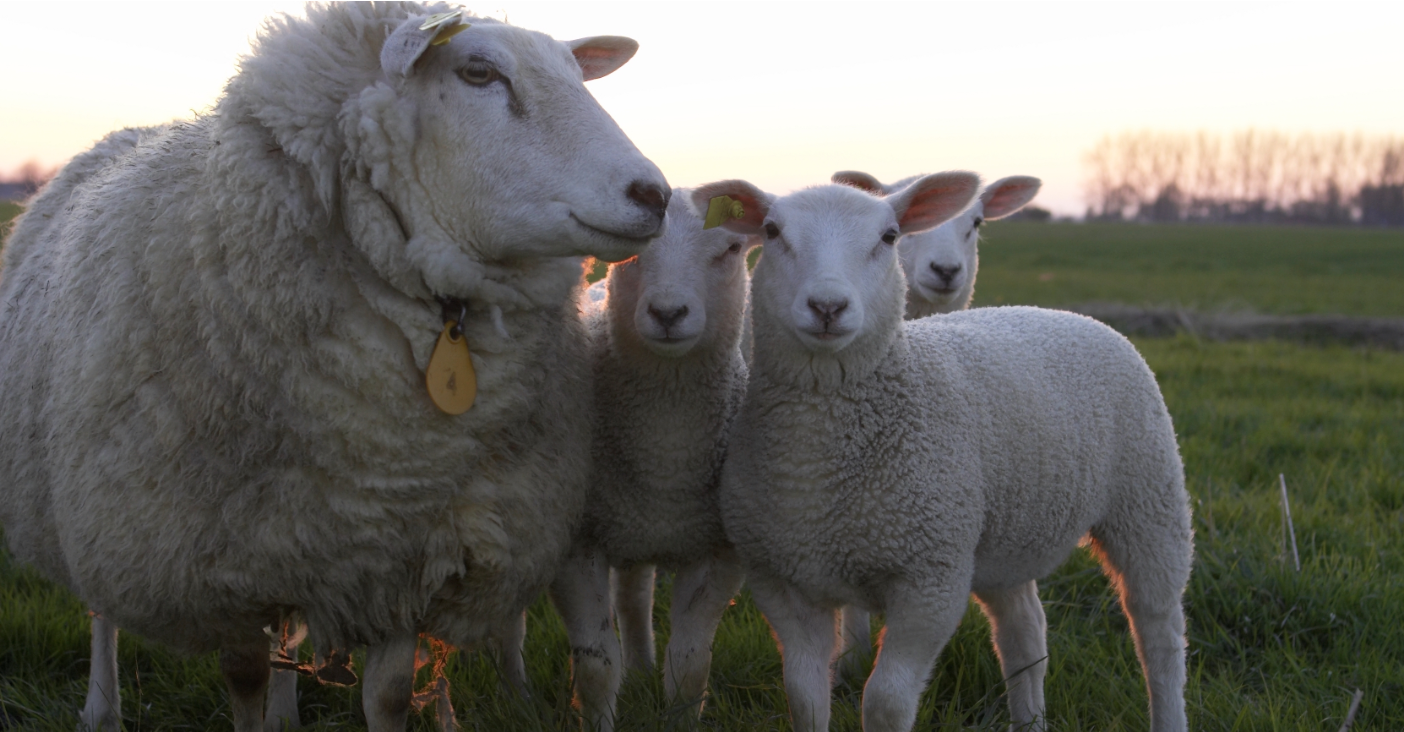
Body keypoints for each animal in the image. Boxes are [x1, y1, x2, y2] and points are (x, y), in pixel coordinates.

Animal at [0, 2, 668, 724]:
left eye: (577, 72)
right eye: (478, 72)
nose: (654, 194)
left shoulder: (402, 552)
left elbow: (389, 693)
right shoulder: (219, 565)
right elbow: (243, 676)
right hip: (86, 502)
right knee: (102, 613)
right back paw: (101, 707)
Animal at [696, 177, 1190, 730]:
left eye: (889, 237)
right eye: (772, 231)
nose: (828, 306)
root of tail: (1070, 315)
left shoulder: (930, 580)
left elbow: (886, 701)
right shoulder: (781, 580)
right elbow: (803, 696)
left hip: (1149, 499)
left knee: (1158, 631)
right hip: (1003, 534)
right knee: (1024, 632)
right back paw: (1030, 719)